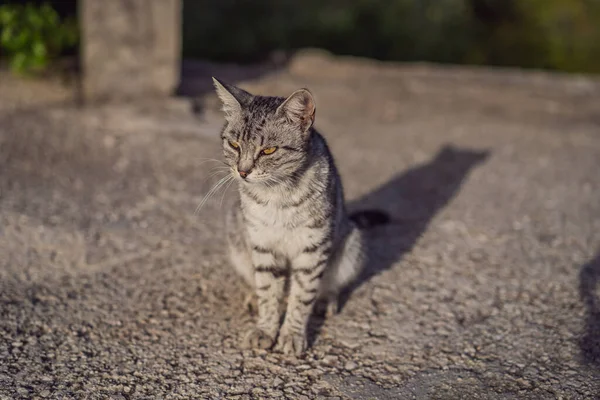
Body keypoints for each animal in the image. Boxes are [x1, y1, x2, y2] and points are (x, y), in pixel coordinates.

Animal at [213, 79, 386, 356]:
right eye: (235, 146)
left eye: (268, 150)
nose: (243, 171)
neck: (277, 195)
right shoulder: (263, 243)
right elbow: (268, 291)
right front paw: (265, 329)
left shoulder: (313, 248)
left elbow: (302, 296)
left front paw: (292, 335)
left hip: (351, 244)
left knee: (329, 285)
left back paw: (325, 301)